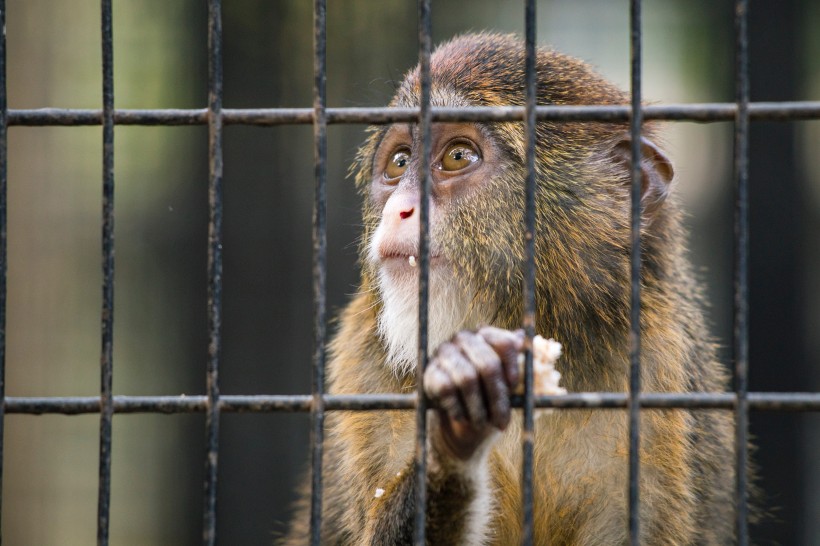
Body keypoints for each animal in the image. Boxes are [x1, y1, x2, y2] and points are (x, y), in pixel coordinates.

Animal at [284, 31, 736, 540]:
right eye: (399, 163)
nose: (399, 210)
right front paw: (452, 429)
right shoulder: (362, 361)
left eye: (457, 156)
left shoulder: (657, 366)